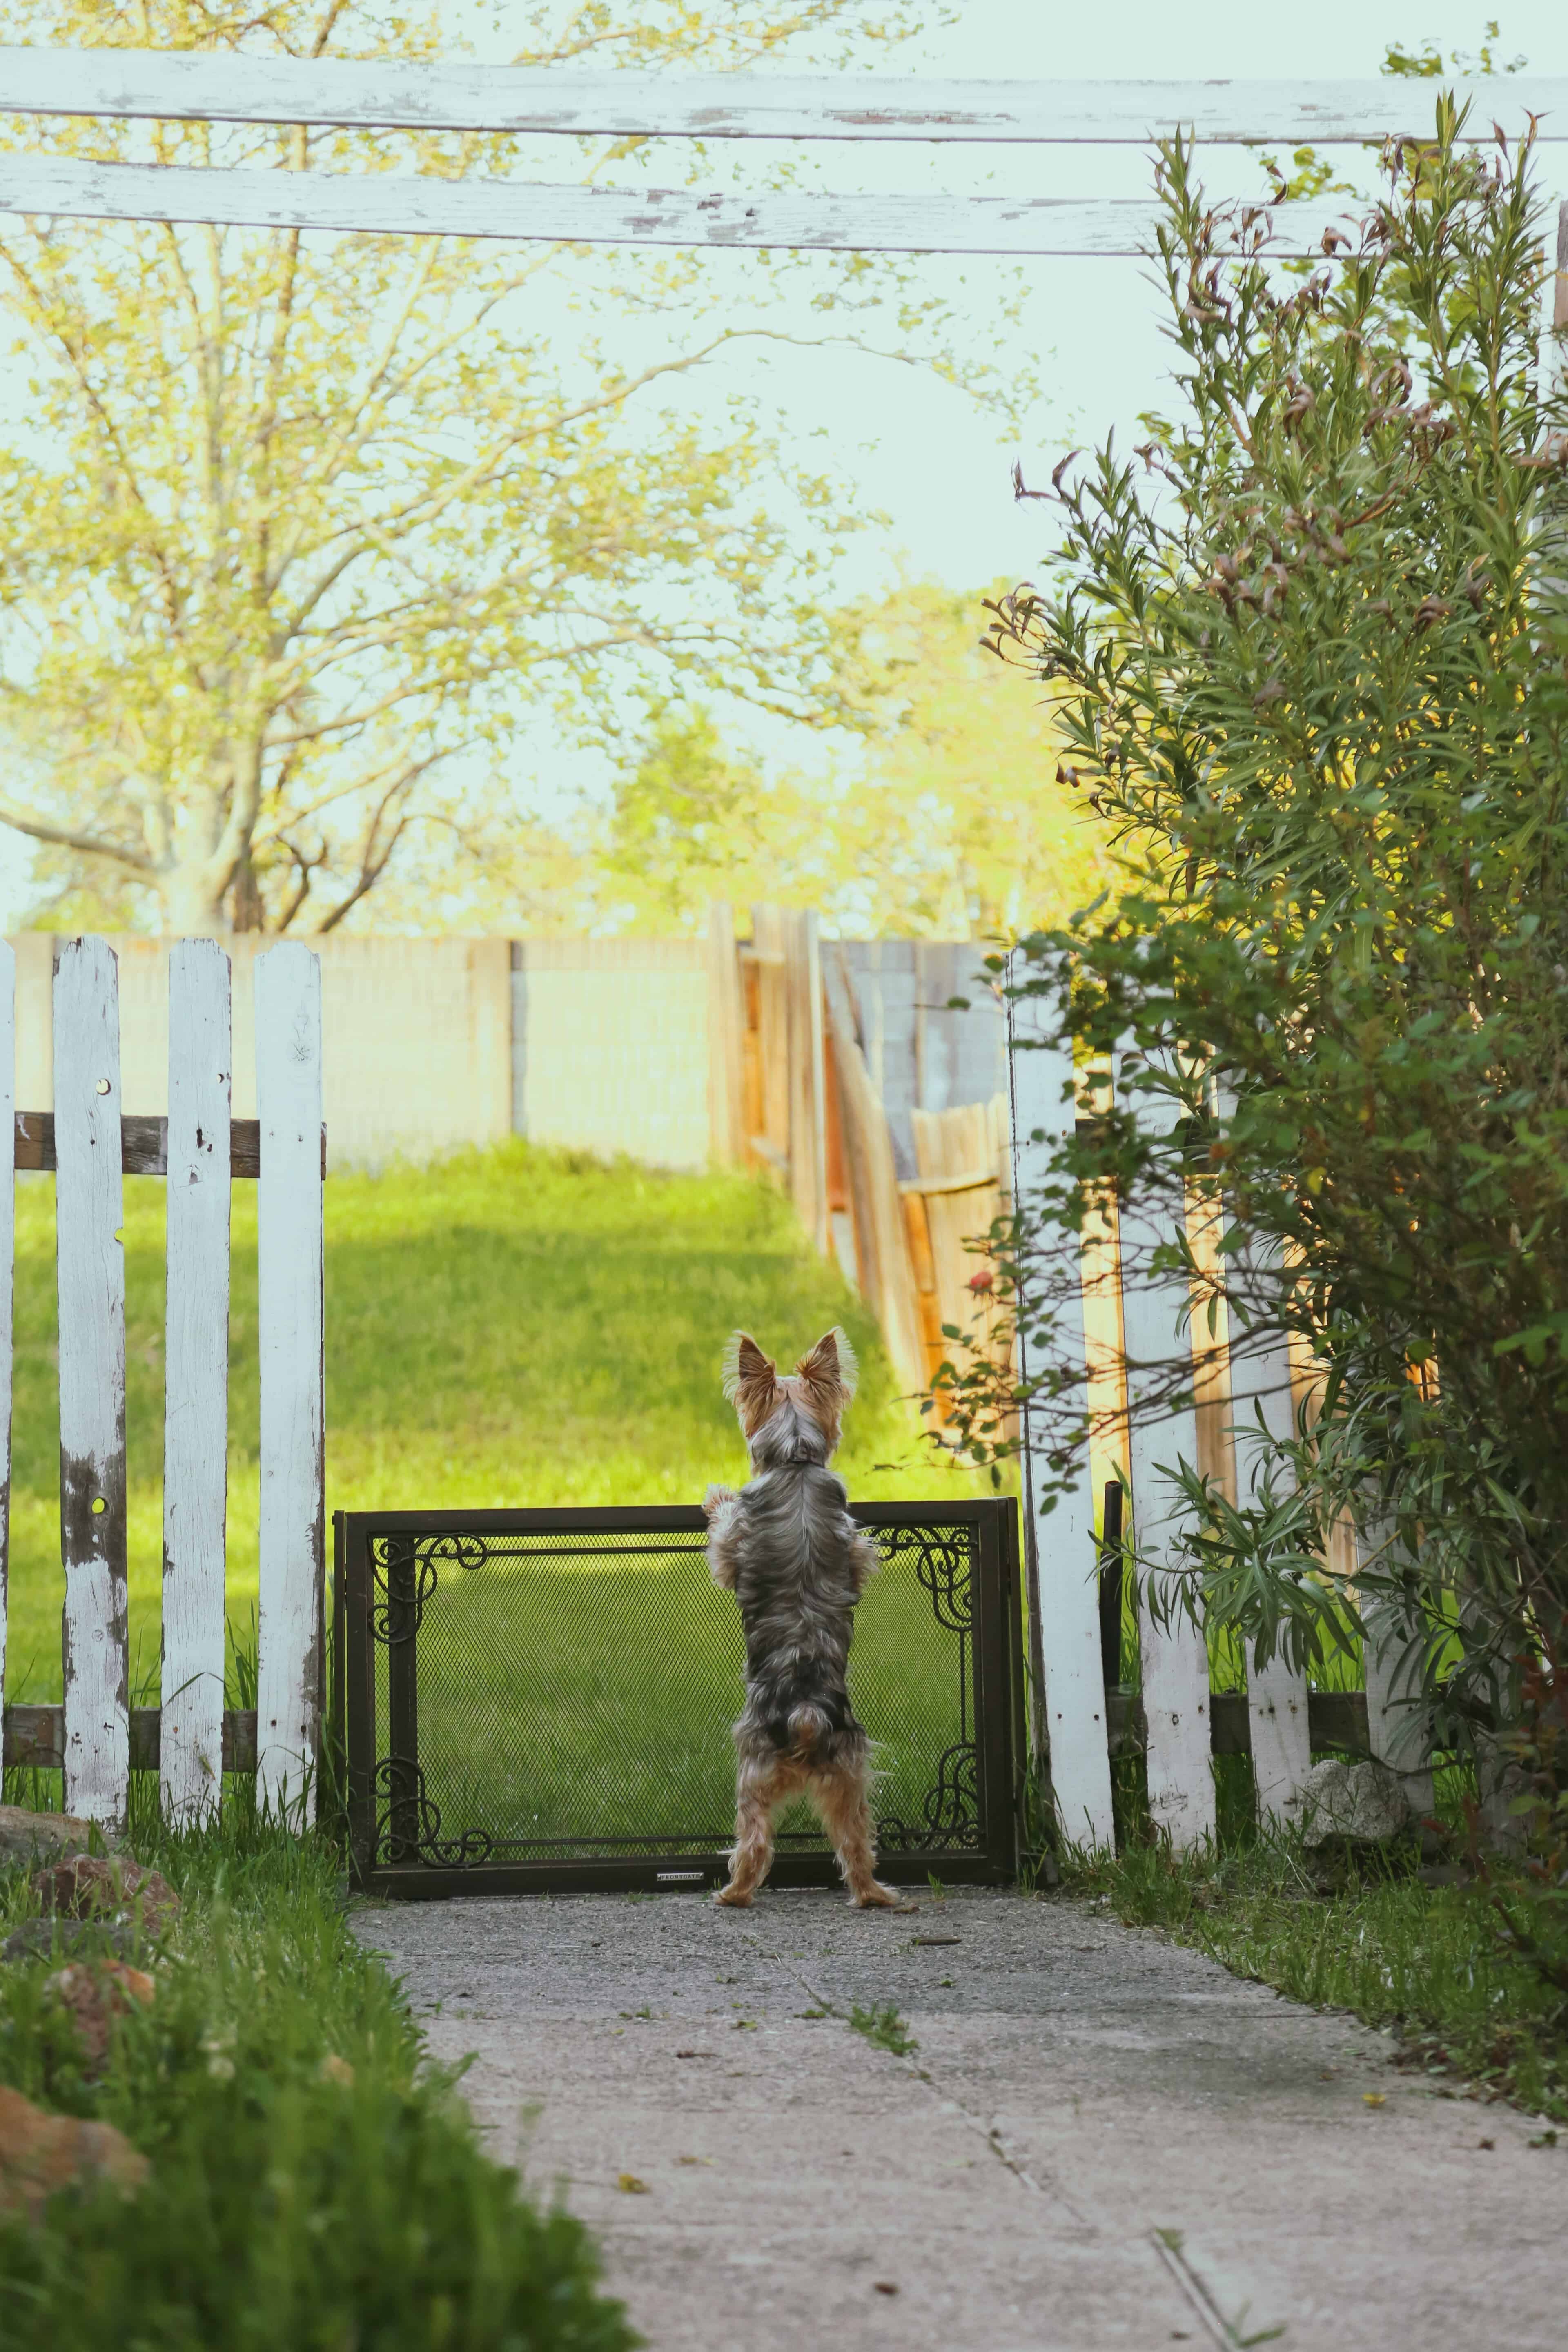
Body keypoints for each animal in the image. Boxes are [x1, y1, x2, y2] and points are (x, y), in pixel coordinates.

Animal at [700, 1326, 893, 1910]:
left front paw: (715, 1495)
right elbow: (861, 1558)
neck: (795, 1458)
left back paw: (733, 1895)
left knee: (755, 1840)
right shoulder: (853, 1546)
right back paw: (875, 1894)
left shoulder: (733, 1543)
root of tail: (806, 1714)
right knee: (856, 1838)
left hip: (753, 1769)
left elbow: (723, 1530)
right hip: (850, 1771)